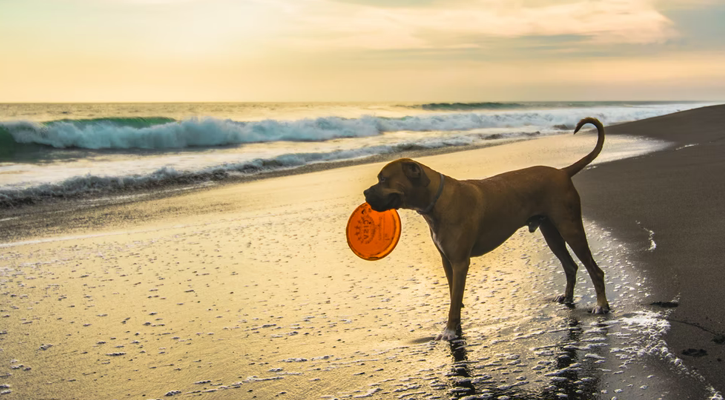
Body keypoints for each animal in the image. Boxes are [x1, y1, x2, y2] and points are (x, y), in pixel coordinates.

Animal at [364, 117, 608, 340]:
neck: (437, 200)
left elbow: (455, 300)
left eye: (384, 179)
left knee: (594, 269)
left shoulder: (460, 262)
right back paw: (568, 297)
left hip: (570, 227)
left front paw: (450, 330)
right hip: (551, 232)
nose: (365, 193)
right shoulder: (447, 261)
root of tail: (563, 172)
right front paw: (456, 324)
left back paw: (601, 305)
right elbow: (454, 295)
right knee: (570, 266)